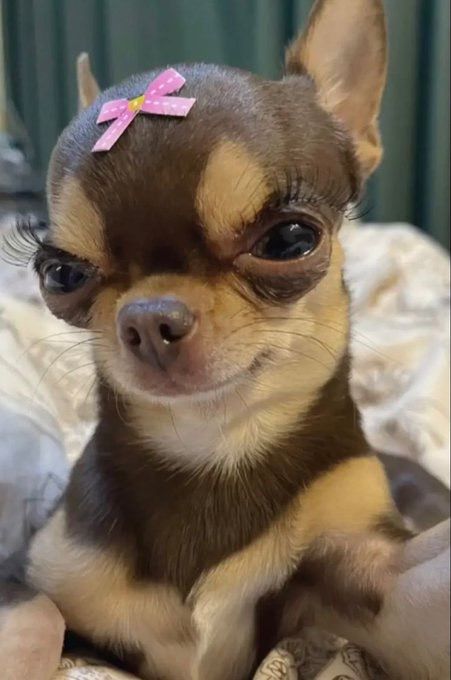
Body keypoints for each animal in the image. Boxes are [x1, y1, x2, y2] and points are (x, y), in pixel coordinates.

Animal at [0, 1, 451, 680]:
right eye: (61, 275)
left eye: (289, 240)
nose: (149, 318)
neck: (214, 444)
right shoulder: (40, 574)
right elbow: (38, 618)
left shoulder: (371, 567)